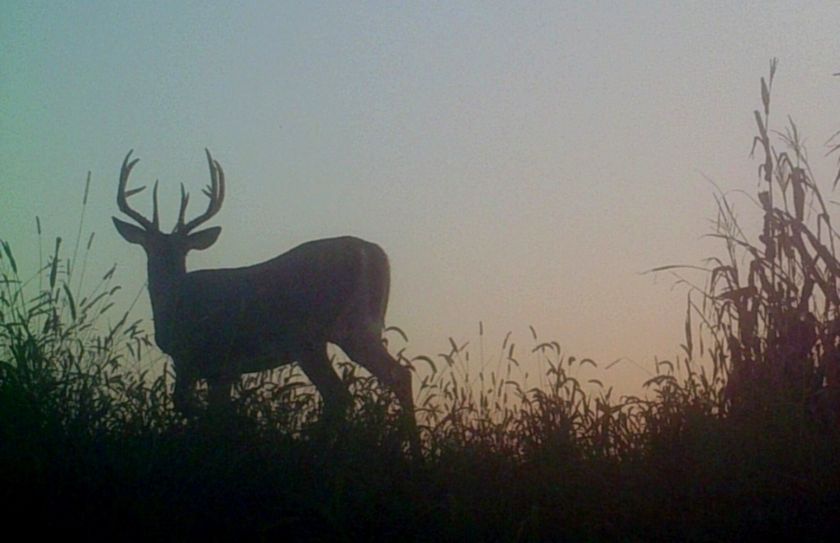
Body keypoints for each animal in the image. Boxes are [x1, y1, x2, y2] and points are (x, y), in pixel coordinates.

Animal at [113, 149, 420, 454]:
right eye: (150, 247)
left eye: (184, 249)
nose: (165, 267)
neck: (176, 303)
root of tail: (371, 252)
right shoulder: (220, 370)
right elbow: (214, 413)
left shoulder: (197, 358)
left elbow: (196, 408)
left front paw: (241, 429)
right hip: (359, 330)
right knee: (398, 376)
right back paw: (411, 452)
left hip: (310, 336)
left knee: (340, 394)